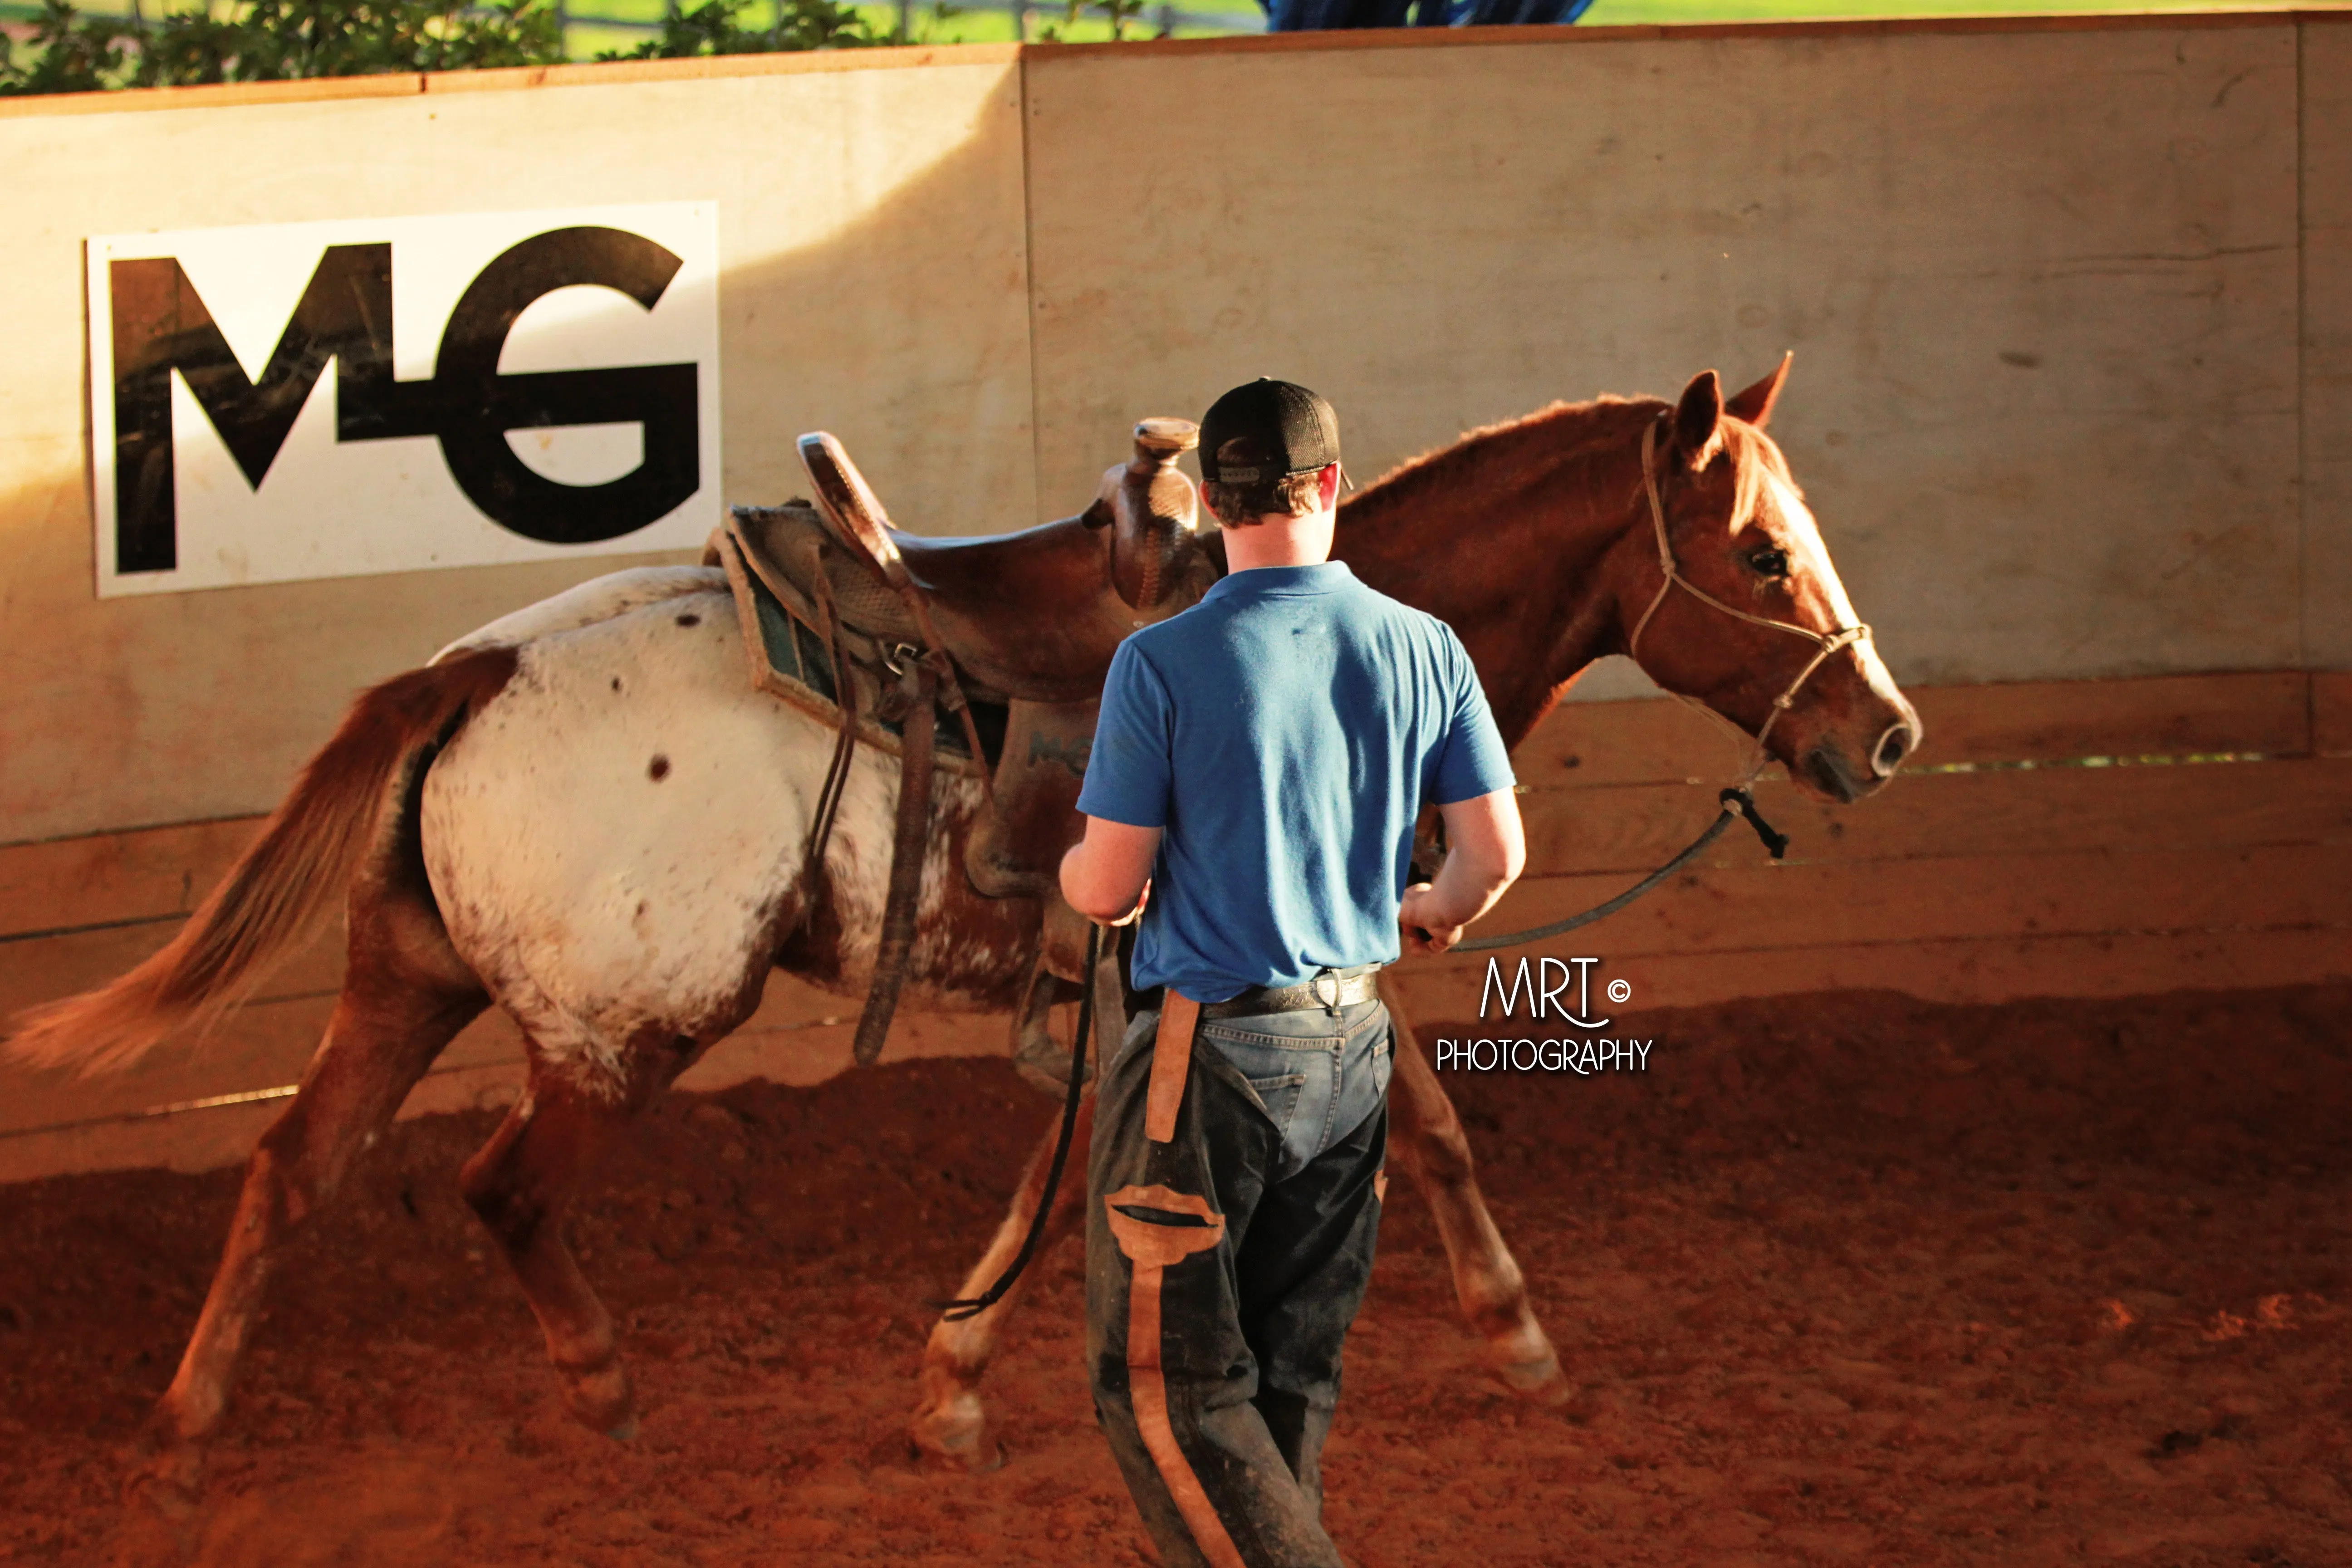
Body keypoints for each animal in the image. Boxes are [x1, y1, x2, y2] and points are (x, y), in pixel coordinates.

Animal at [5, 355, 1910, 1495]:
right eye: (1757, 554)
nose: (1881, 731)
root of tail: (471, 668)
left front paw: (956, 1379)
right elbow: (1412, 1126)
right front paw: (1517, 1334)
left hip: (404, 983)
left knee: (291, 1169)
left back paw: (184, 1430)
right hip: (624, 1031)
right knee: (498, 1188)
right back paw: (603, 1389)